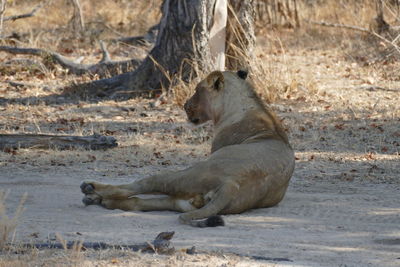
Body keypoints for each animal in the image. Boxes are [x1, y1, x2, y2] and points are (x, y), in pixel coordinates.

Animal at [80, 69, 294, 228]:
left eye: (197, 90)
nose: (184, 105)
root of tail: (231, 185)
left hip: (185, 175)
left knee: (137, 186)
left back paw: (91, 190)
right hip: (185, 201)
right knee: (140, 202)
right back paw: (99, 200)